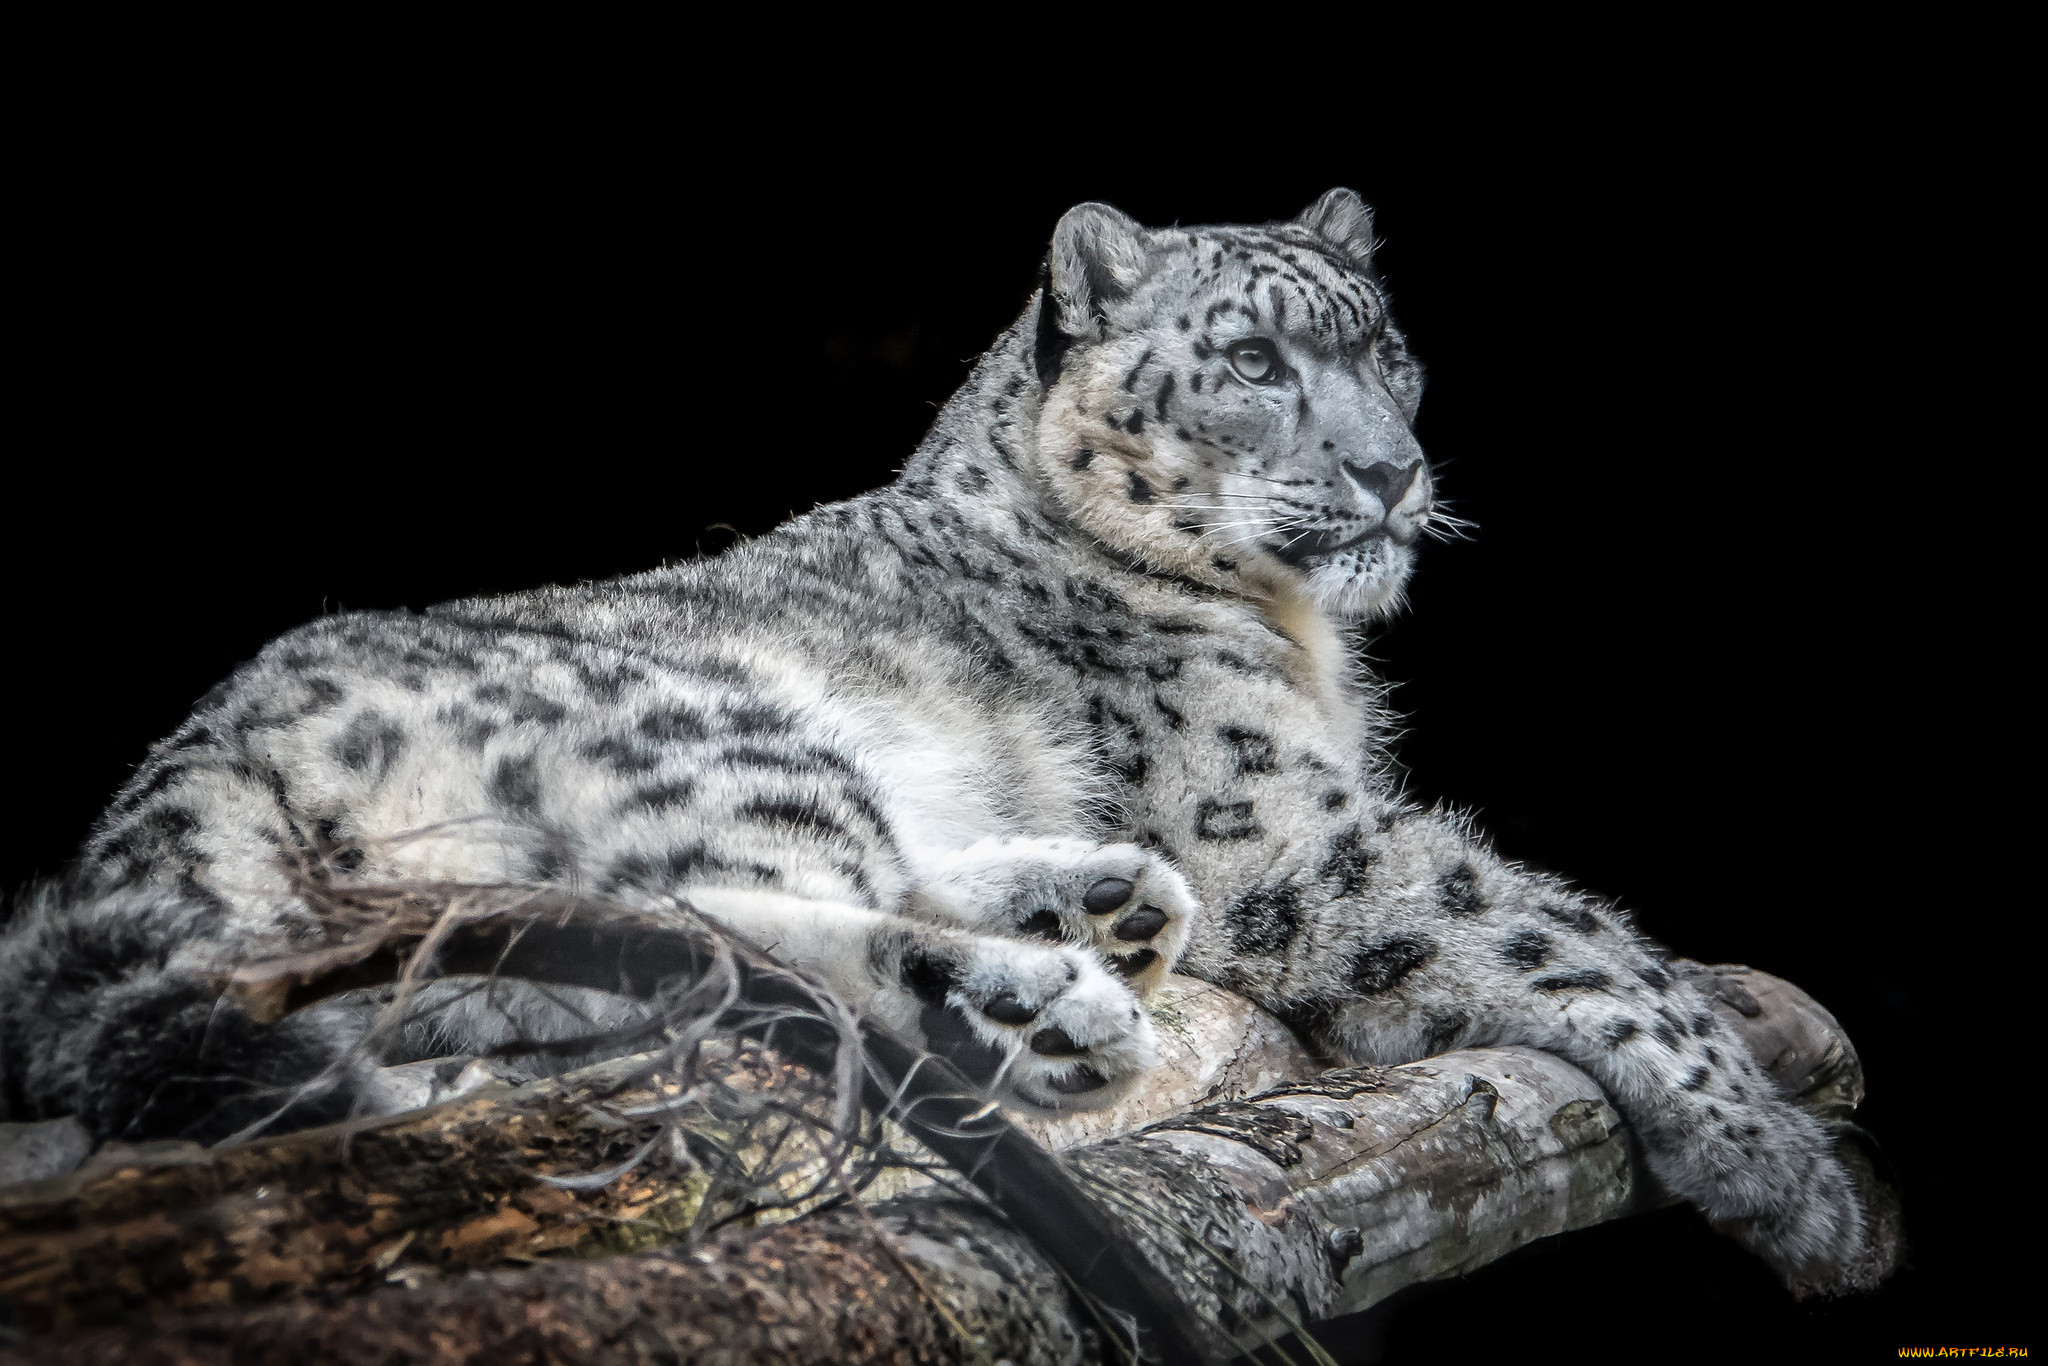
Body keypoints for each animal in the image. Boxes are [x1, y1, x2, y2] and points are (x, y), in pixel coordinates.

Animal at [0, 189, 1875, 1294]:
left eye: (1388, 349)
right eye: (1254, 361)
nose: (1389, 470)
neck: (1305, 640)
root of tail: (171, 787)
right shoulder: (1287, 827)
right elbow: (1553, 931)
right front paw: (1798, 1179)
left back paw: (1091, 905)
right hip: (727, 735)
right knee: (720, 941)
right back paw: (1043, 998)